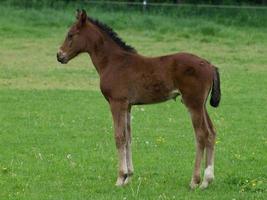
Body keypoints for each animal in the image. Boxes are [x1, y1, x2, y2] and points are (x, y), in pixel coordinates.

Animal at [57, 10, 222, 189]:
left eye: (70, 34)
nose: (59, 55)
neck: (113, 62)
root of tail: (210, 65)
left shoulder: (117, 102)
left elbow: (119, 137)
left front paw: (120, 178)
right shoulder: (128, 105)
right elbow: (128, 137)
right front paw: (128, 177)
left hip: (193, 103)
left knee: (201, 134)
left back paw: (195, 181)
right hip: (201, 105)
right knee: (211, 133)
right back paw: (207, 180)